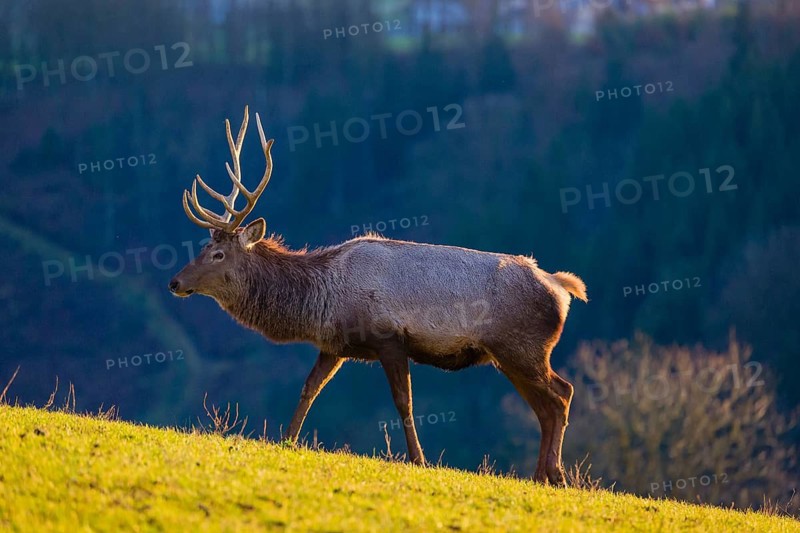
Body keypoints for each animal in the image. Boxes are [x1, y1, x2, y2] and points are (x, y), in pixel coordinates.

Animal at [168, 106, 587, 486]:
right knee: (546, 405)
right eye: (204, 246)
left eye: (218, 254)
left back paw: (556, 474)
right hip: (510, 355)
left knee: (561, 394)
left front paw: (419, 459)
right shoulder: (335, 346)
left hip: (523, 347)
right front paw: (286, 440)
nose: (175, 282)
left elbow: (404, 402)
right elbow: (309, 389)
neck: (324, 299)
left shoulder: (390, 338)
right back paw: (541, 475)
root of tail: (562, 289)